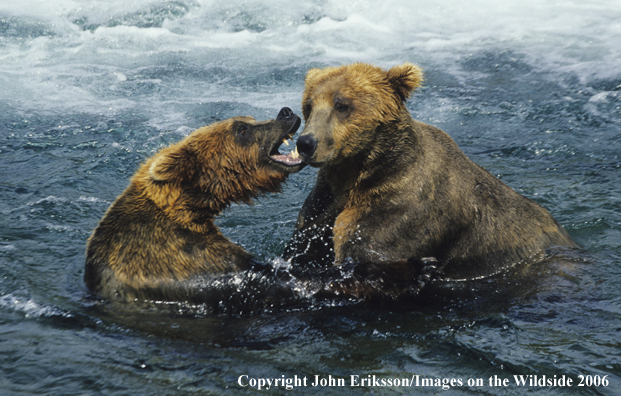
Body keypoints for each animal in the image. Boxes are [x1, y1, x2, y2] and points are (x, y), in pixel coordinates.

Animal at [284, 62, 576, 290]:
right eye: (309, 105)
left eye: (341, 105)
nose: (307, 142)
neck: (360, 174)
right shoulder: (322, 206)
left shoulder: (401, 211)